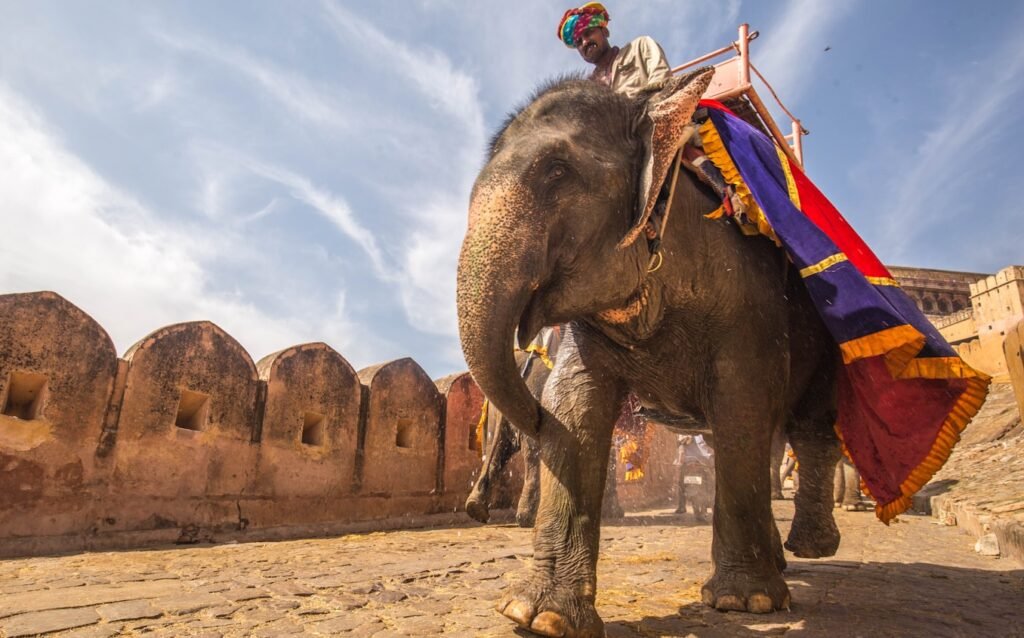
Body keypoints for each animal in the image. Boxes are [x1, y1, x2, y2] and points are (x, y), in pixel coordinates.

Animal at [456, 69, 843, 636]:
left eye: (557, 171)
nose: (532, 412)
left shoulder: (748, 298)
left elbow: (743, 403)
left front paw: (744, 603)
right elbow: (574, 405)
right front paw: (539, 616)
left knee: (808, 428)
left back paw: (810, 549)